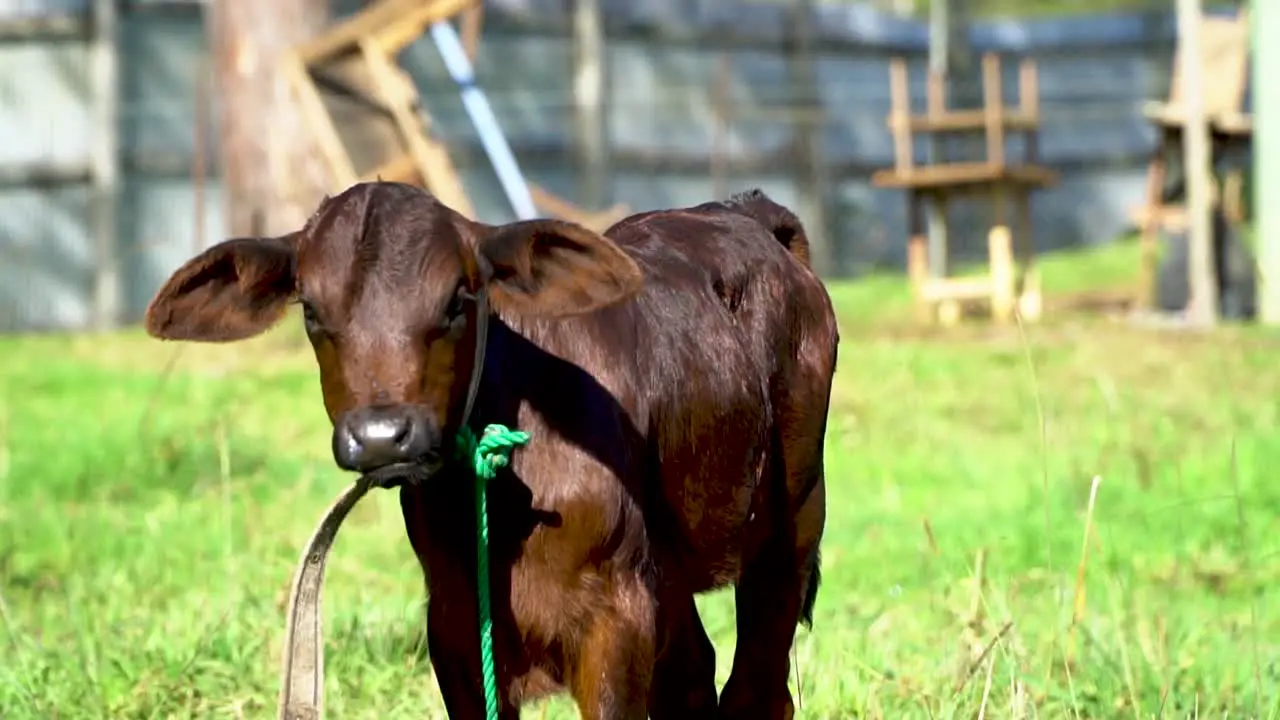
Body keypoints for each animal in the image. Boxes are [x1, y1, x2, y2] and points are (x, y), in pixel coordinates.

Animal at [145, 180, 839, 717]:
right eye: (312, 310)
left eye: (458, 299)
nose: (382, 436)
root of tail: (743, 213)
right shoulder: (455, 625)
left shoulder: (616, 619)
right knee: (693, 675)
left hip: (793, 520)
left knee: (757, 688)